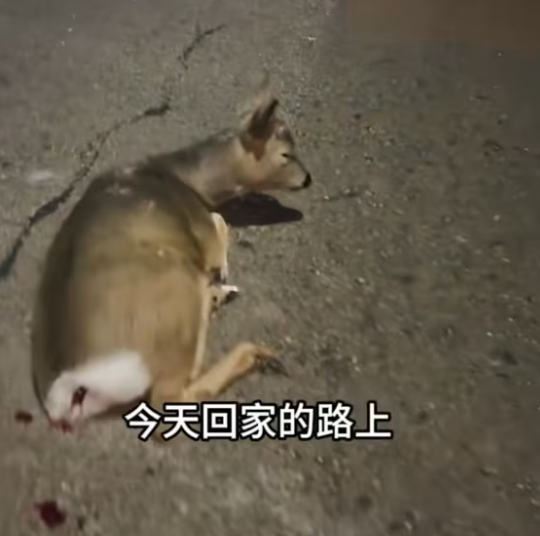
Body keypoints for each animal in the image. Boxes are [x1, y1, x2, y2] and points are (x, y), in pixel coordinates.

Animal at [31, 78, 312, 440]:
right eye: (286, 154)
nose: (308, 179)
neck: (188, 177)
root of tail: (67, 390)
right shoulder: (201, 224)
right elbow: (220, 224)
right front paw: (221, 271)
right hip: (172, 306)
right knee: (171, 399)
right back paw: (251, 349)